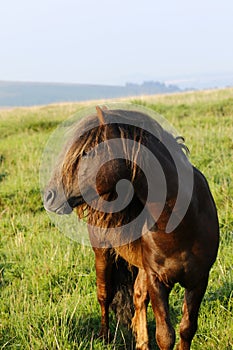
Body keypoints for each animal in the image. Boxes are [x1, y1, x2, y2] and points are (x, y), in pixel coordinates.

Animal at [43, 106, 218, 350]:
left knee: (137, 296)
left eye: (88, 153)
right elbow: (165, 336)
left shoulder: (199, 280)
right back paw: (105, 336)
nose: (49, 195)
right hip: (103, 253)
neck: (181, 226)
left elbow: (186, 329)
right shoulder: (157, 280)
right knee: (104, 295)